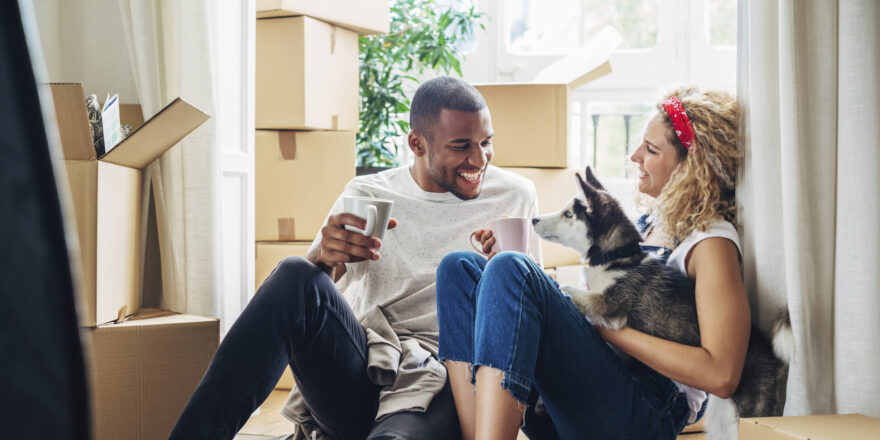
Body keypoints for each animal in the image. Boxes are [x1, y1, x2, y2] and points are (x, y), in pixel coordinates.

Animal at [532, 167, 796, 440]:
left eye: (568, 214)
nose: (534, 220)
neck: (616, 257)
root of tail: (770, 351)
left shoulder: (608, 305)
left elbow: (566, 290)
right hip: (721, 418)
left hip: (745, 413)